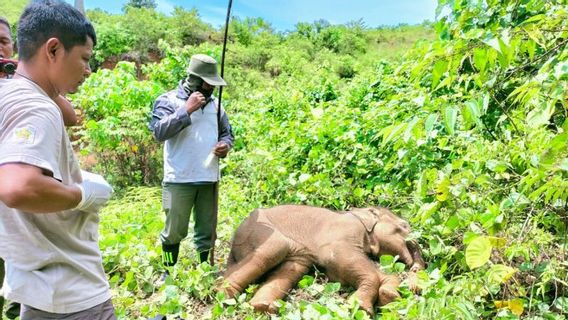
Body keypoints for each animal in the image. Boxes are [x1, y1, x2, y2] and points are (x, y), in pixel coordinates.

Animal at [221, 206, 422, 314]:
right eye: (404, 226)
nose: (414, 268)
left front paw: (390, 295)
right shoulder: (341, 234)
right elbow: (340, 260)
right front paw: (360, 308)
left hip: (295, 256)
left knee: (292, 268)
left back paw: (262, 307)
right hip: (257, 231)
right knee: (275, 248)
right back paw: (224, 295)